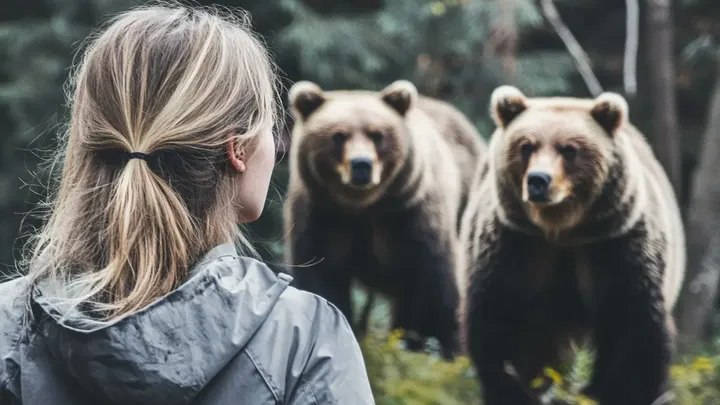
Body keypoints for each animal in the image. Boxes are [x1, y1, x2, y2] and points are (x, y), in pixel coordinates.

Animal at [283, 79, 487, 360]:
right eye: (338, 135)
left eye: (377, 134)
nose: (361, 165)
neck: (365, 207)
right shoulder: (323, 216)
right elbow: (322, 275)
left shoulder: (412, 215)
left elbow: (436, 286)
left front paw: (439, 350)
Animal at [458, 85, 686, 405]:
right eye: (526, 146)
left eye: (568, 149)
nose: (538, 180)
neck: (562, 230)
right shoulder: (516, 246)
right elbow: (503, 327)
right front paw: (516, 388)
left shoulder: (616, 247)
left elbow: (634, 329)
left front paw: (619, 392)